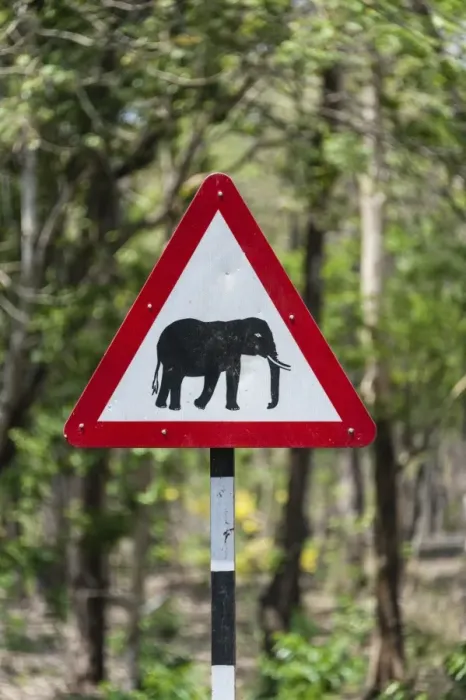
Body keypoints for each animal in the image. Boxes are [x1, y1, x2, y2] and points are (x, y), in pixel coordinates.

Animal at [151, 317, 291, 411]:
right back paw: (172, 408)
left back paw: (165, 407)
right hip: (173, 354)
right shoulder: (215, 355)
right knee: (174, 377)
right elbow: (213, 375)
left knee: (171, 378)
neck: (239, 324)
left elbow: (234, 376)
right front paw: (198, 406)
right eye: (260, 339)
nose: (268, 405)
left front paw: (233, 409)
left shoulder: (234, 354)